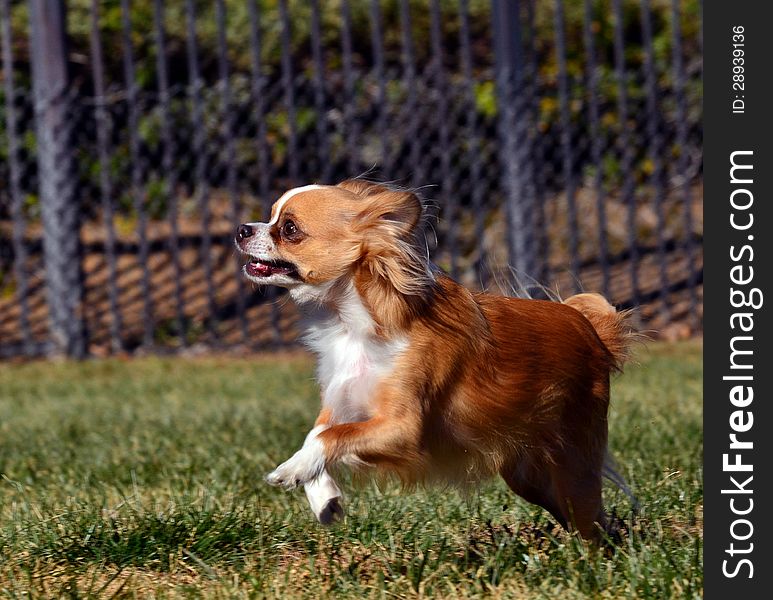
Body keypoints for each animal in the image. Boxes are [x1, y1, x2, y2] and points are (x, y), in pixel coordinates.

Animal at [234, 179, 632, 540]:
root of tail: (589, 328)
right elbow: (319, 432)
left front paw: (292, 469)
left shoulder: (403, 429)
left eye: (289, 229)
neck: (349, 322)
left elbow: (329, 437)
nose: (242, 229)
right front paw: (323, 496)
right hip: (529, 478)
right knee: (592, 522)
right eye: (271, 215)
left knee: (591, 525)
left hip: (572, 466)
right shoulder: (344, 402)